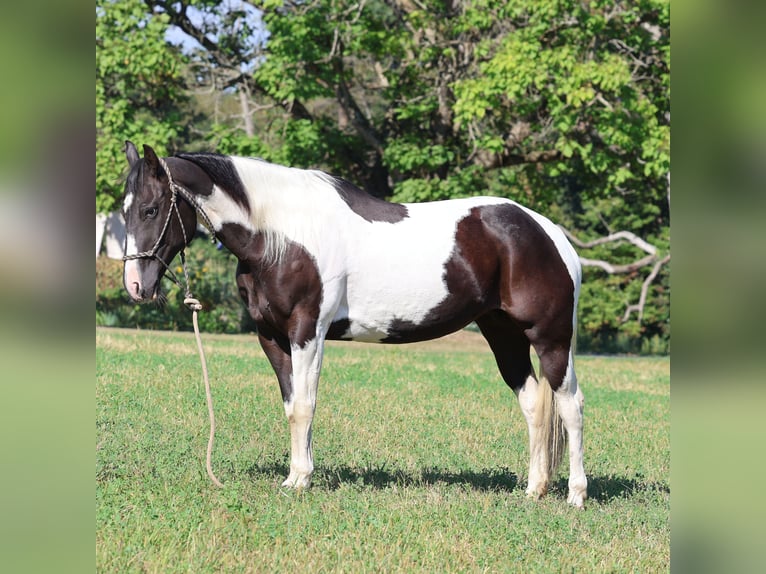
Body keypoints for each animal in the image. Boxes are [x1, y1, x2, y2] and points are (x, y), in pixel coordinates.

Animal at [120, 142, 587, 507]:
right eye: (124, 212)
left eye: (151, 208)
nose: (135, 285)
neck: (281, 236)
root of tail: (549, 232)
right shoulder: (270, 336)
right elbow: (291, 405)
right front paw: (295, 475)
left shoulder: (307, 331)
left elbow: (305, 405)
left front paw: (301, 481)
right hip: (503, 334)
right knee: (533, 403)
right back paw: (534, 490)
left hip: (551, 338)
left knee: (571, 405)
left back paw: (575, 495)